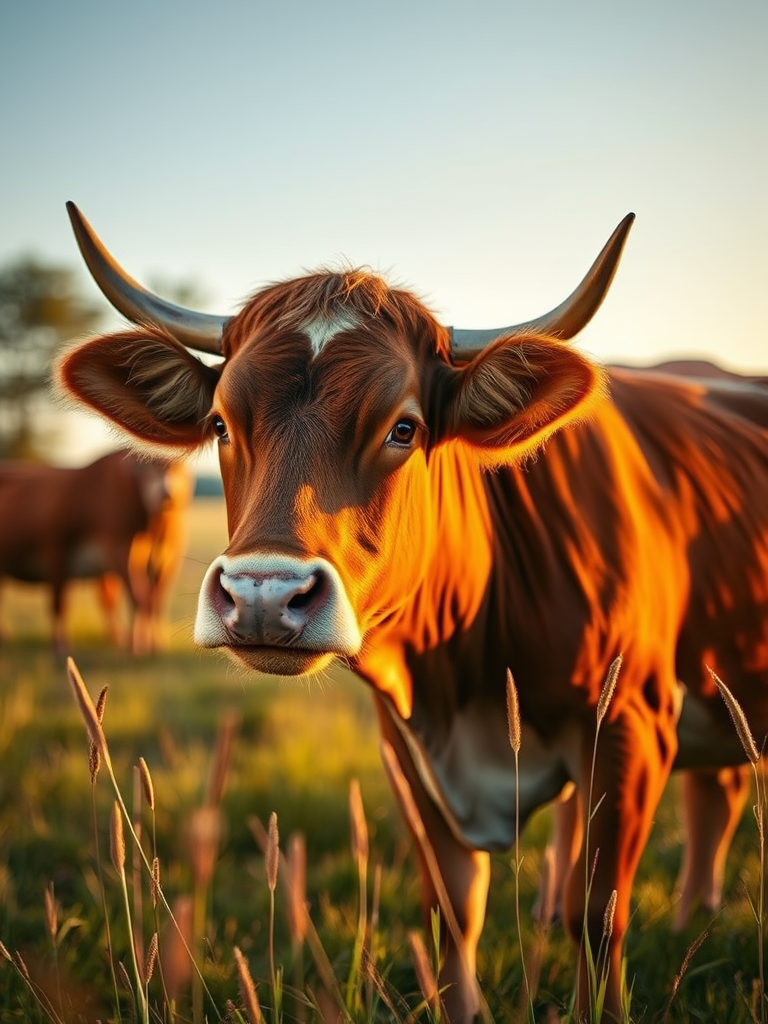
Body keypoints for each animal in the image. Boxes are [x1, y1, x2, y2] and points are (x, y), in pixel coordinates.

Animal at [0, 450, 192, 655]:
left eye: (177, 466)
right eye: (145, 467)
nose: (166, 494)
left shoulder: (166, 558)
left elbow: (154, 600)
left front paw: (155, 644)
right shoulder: (58, 549)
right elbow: (61, 603)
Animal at [55, 202, 768, 1021]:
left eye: (403, 428)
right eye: (221, 425)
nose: (265, 595)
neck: (462, 672)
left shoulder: (630, 724)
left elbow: (598, 912)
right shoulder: (407, 746)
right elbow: (452, 909)